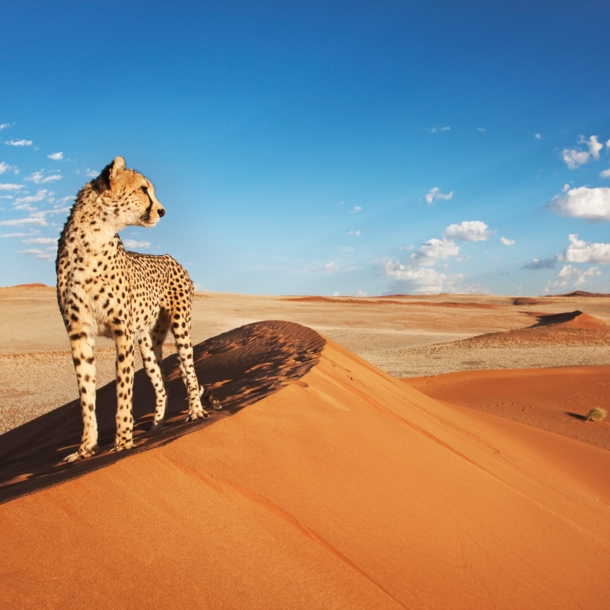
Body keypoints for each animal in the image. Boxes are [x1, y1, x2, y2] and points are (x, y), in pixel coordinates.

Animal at [55, 157, 220, 460]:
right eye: (144, 189)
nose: (163, 211)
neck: (93, 239)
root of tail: (170, 257)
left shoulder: (123, 333)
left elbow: (123, 390)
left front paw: (122, 442)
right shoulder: (79, 334)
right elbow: (86, 396)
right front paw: (85, 450)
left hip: (180, 327)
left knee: (189, 372)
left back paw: (196, 412)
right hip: (147, 344)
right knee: (162, 385)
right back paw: (157, 425)